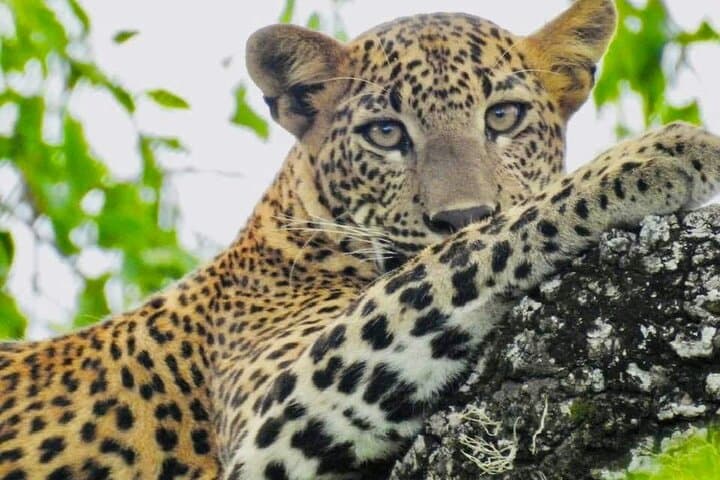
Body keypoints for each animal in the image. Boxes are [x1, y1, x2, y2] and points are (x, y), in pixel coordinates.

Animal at [2, 1, 720, 479]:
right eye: (385, 133)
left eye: (504, 117)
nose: (460, 213)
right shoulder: (278, 419)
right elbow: (457, 258)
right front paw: (661, 154)